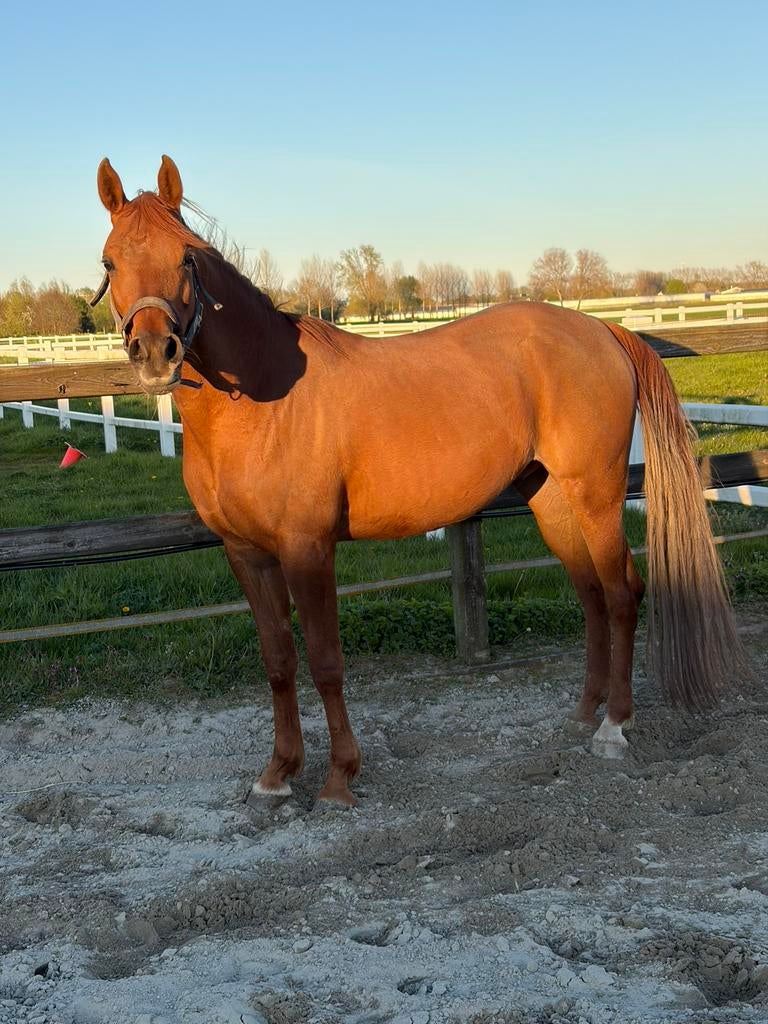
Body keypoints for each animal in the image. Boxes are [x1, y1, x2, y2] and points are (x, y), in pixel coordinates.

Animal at [93, 155, 749, 806]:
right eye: (109, 261)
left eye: (186, 258)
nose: (155, 350)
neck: (263, 400)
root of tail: (603, 331)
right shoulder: (246, 554)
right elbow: (278, 661)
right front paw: (277, 775)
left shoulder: (308, 549)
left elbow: (326, 661)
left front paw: (339, 777)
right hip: (552, 500)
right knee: (590, 596)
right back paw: (584, 714)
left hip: (597, 496)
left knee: (621, 594)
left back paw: (614, 727)